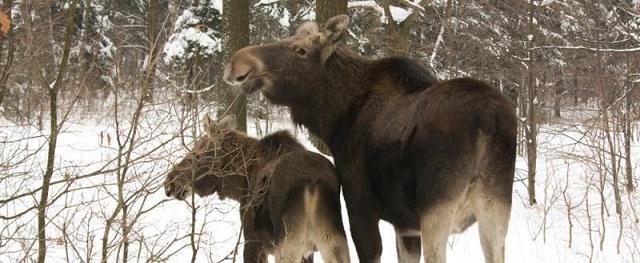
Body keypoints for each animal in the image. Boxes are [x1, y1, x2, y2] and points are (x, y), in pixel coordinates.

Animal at [162, 115, 348, 263]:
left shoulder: (253, 241)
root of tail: (312, 181)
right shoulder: (308, 252)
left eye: (196, 155)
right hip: (332, 239)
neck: (239, 183)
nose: (169, 183)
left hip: (289, 241)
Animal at [222, 15, 516, 262]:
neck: (335, 120)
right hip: (496, 209)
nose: (238, 63)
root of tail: (487, 120)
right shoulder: (405, 226)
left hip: (437, 210)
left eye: (301, 50)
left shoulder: (360, 208)